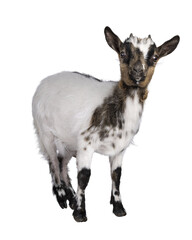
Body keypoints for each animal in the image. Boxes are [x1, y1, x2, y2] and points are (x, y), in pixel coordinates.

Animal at [31, 26, 180, 221]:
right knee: (53, 161)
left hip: (68, 139)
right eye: (123, 53)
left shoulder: (120, 148)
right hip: (44, 131)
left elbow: (116, 175)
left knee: (62, 161)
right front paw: (80, 213)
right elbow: (84, 176)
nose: (137, 72)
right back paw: (62, 196)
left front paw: (118, 207)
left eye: (154, 57)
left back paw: (70, 194)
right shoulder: (86, 143)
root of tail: (44, 82)